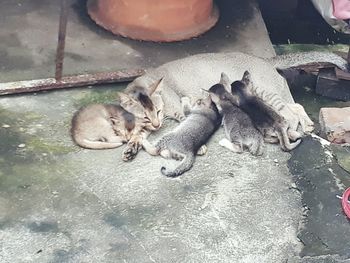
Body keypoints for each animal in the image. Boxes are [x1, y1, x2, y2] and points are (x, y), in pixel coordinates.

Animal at [119, 50, 348, 160]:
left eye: (157, 111)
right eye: (145, 116)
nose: (156, 124)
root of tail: (265, 59)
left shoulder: (177, 111)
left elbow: (186, 125)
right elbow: (139, 133)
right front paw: (131, 147)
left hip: (265, 93)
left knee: (289, 116)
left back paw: (290, 134)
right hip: (272, 96)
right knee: (296, 107)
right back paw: (307, 125)